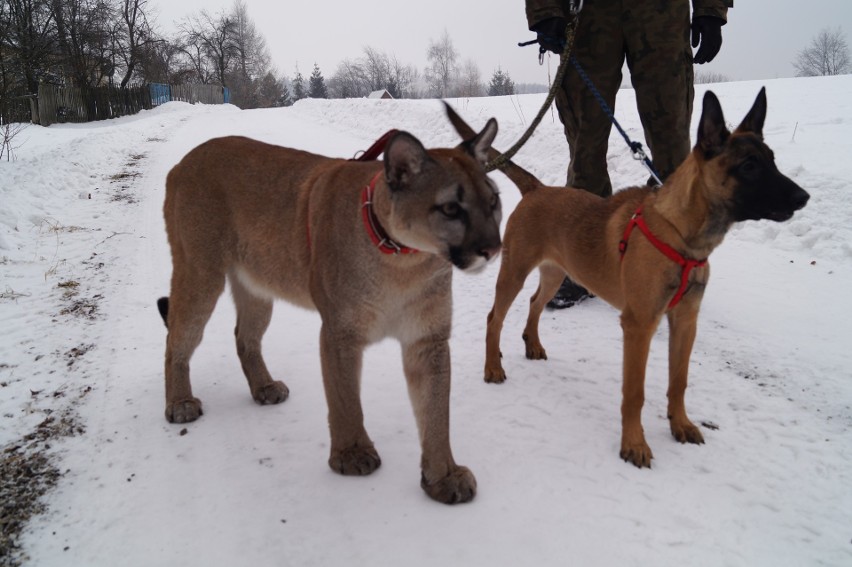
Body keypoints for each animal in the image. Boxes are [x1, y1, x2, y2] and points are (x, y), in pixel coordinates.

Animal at [157, 122, 502, 504]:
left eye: (493, 201)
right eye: (452, 209)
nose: (493, 248)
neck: (404, 260)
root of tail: (185, 160)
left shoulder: (427, 339)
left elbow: (436, 413)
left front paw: (443, 476)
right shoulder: (340, 332)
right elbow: (345, 398)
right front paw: (352, 454)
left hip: (258, 288)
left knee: (244, 337)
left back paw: (264, 387)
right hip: (200, 274)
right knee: (176, 338)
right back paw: (180, 403)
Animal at [450, 89, 808, 468]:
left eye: (772, 160)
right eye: (749, 166)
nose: (804, 197)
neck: (681, 236)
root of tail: (538, 189)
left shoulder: (685, 321)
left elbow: (679, 381)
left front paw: (680, 424)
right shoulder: (639, 326)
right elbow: (634, 392)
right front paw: (634, 443)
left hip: (555, 273)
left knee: (535, 302)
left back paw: (532, 344)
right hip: (514, 272)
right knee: (494, 318)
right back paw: (493, 367)